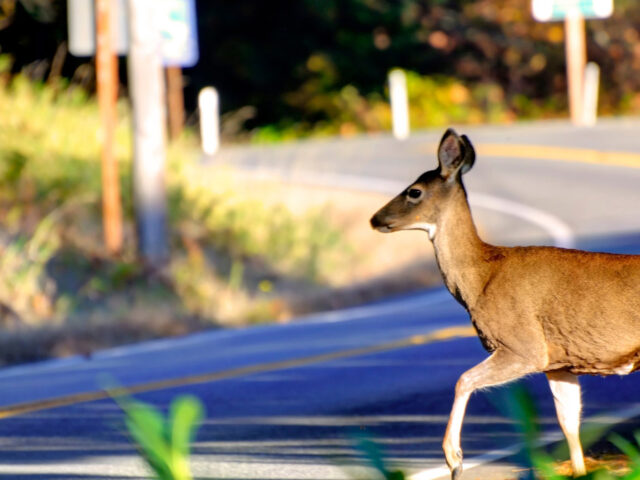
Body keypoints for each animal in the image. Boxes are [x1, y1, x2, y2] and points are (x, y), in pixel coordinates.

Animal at [370, 128, 640, 480]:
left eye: (414, 191)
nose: (375, 218)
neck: (482, 277)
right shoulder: (560, 361)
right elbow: (568, 421)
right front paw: (579, 470)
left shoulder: (524, 346)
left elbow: (464, 379)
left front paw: (454, 459)